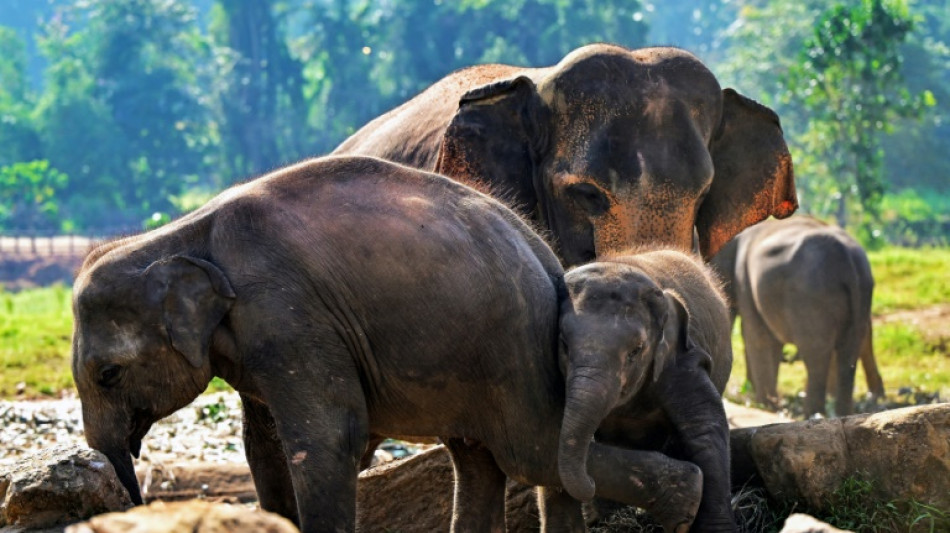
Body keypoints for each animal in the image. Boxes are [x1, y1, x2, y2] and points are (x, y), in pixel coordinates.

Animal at [712, 215, 888, 416]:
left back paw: (813, 413)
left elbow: (758, 338)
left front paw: (765, 405)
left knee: (817, 355)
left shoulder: (746, 281)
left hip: (811, 297)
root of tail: (847, 260)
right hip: (860, 293)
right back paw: (842, 412)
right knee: (848, 352)